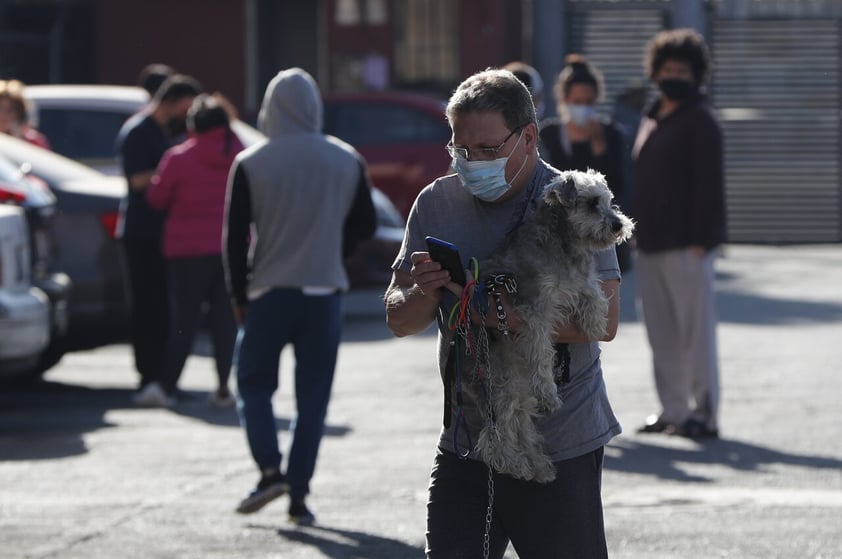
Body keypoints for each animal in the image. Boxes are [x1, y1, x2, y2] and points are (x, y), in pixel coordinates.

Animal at [472, 168, 632, 484]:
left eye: (609, 201)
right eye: (592, 203)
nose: (618, 224)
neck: (566, 244)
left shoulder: (580, 281)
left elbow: (594, 293)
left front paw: (594, 322)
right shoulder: (535, 308)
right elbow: (541, 350)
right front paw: (548, 388)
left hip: (520, 390)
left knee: (522, 426)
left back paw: (538, 465)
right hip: (504, 385)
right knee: (496, 434)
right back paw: (515, 463)